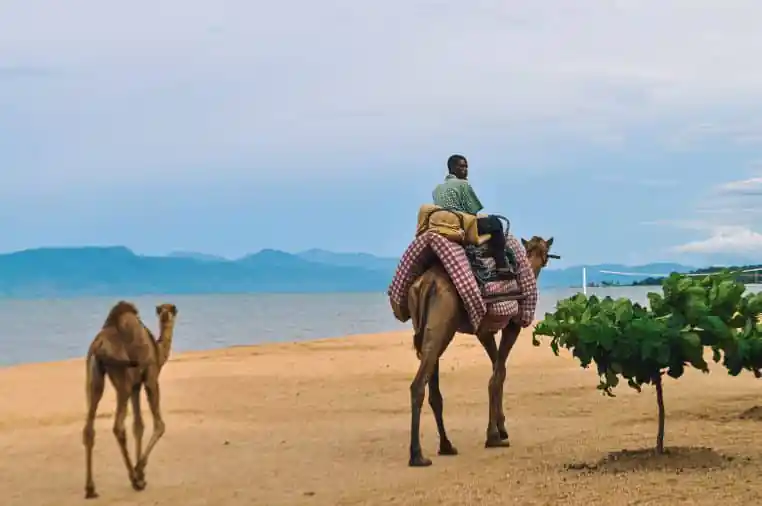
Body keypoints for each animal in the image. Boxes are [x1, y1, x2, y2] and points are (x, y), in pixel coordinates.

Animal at [82, 300, 178, 499]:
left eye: (172, 309)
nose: (166, 314)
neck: (157, 351)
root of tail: (99, 346)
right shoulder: (150, 378)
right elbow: (159, 425)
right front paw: (140, 472)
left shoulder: (136, 385)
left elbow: (138, 426)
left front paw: (141, 472)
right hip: (122, 378)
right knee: (118, 427)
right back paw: (134, 479)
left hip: (94, 376)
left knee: (89, 428)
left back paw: (90, 489)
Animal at [407, 236, 556, 467]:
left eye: (544, 251)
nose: (543, 259)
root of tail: (426, 284)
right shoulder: (510, 325)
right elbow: (496, 375)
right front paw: (494, 435)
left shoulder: (484, 331)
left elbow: (498, 371)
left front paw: (501, 428)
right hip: (442, 325)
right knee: (418, 385)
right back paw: (417, 455)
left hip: (426, 329)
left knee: (433, 389)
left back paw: (446, 445)